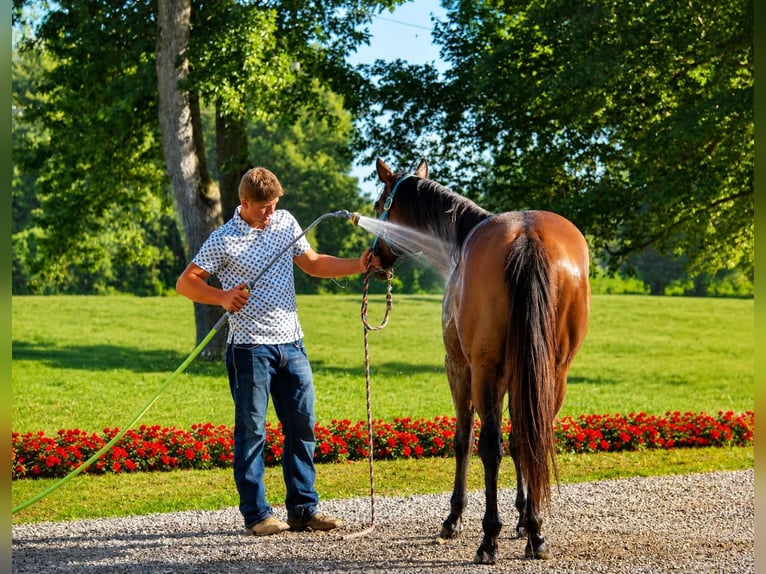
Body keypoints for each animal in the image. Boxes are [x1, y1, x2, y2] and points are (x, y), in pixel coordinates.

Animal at [372, 158, 591, 564]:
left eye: (380, 205)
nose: (376, 257)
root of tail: (527, 236)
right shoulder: (516, 373)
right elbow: (521, 440)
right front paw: (524, 520)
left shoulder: (460, 367)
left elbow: (464, 439)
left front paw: (454, 518)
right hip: (553, 371)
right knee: (533, 437)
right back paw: (536, 533)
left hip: (484, 369)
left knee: (490, 445)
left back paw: (488, 539)